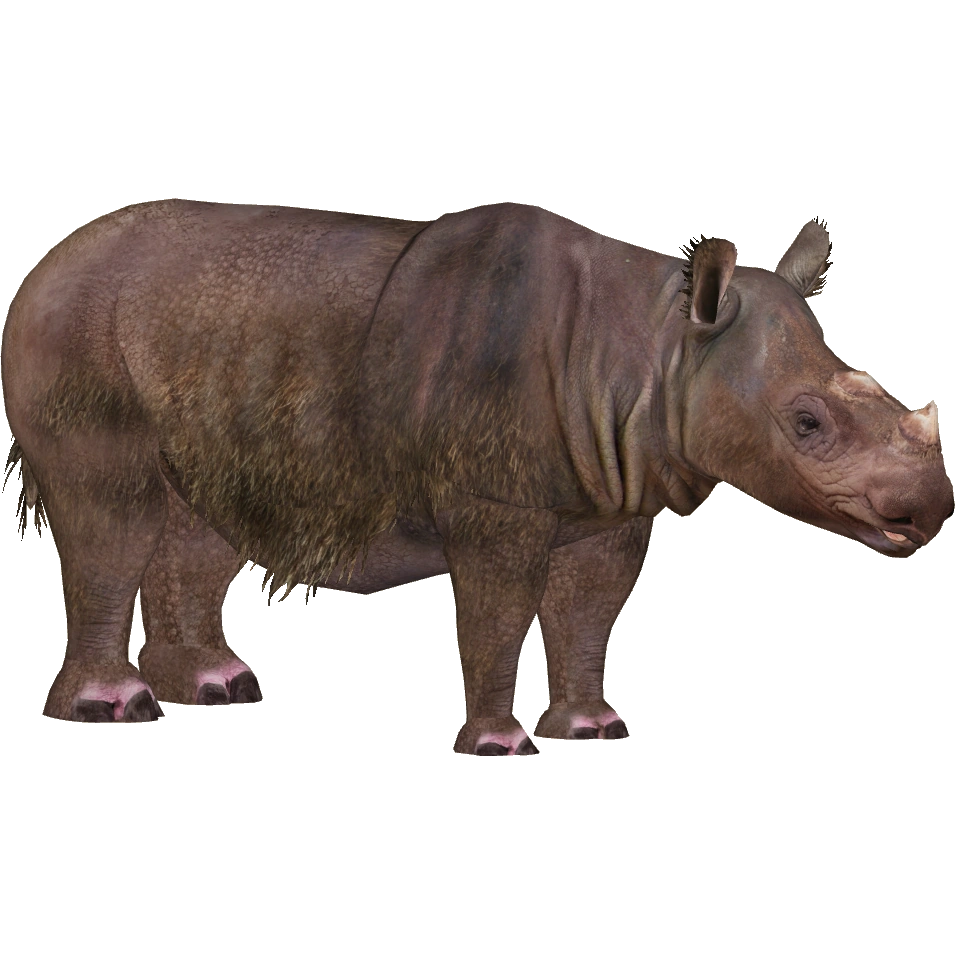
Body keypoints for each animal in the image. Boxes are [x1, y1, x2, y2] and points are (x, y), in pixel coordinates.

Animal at [1, 200, 951, 755]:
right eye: (806, 423)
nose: (927, 510)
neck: (658, 344)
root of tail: (42, 264)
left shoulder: (611, 498)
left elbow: (585, 610)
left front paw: (594, 729)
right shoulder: (496, 499)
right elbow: (497, 612)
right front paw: (500, 746)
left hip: (205, 352)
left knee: (195, 522)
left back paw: (218, 689)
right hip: (76, 324)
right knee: (114, 514)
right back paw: (116, 710)